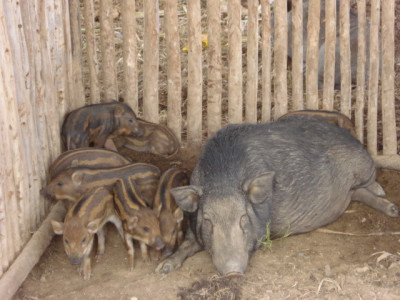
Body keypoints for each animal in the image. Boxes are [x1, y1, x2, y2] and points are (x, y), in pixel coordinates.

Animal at [155, 117, 396, 276]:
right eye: (207, 220)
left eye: (243, 218)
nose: (233, 271)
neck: (223, 180)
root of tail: (356, 139)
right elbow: (186, 244)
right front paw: (162, 268)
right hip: (350, 192)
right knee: (358, 193)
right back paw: (392, 209)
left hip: (364, 165)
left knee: (369, 182)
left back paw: (385, 197)